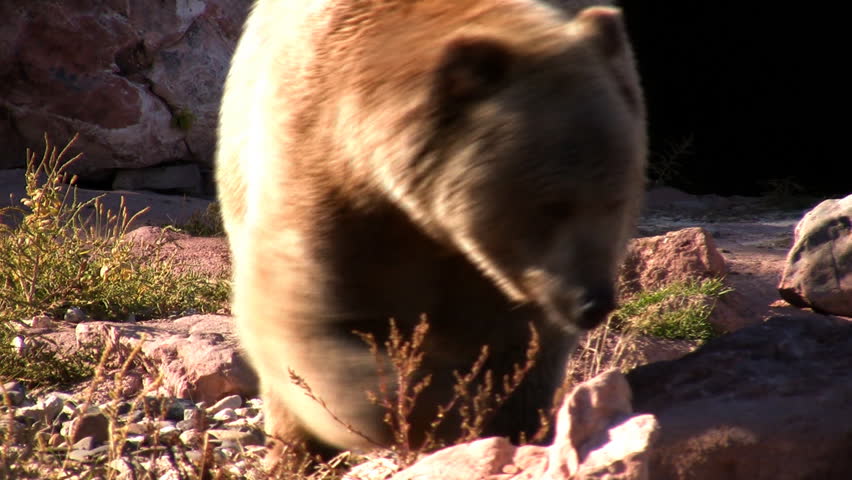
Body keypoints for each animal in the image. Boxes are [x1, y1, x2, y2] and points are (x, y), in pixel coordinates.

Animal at [215, 0, 646, 453]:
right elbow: (310, 319)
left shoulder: (496, 272)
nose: (592, 301)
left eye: (617, 198)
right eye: (553, 205)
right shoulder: (321, 171)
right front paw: (434, 412)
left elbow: (521, 347)